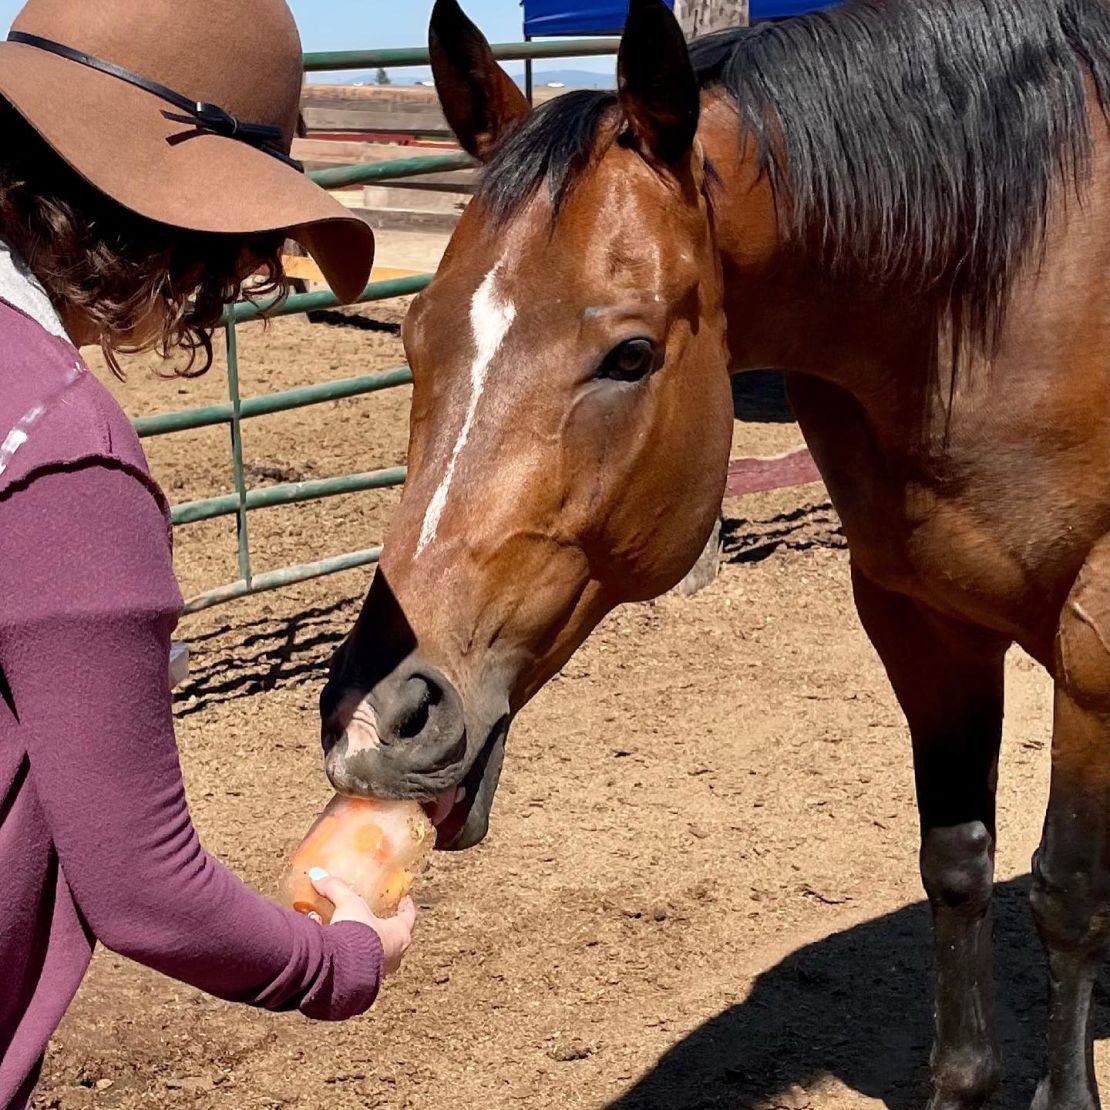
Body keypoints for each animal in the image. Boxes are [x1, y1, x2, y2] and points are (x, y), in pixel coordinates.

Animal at [324, 4, 1110, 1105]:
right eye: (415, 336)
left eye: (631, 355)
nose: (377, 715)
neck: (1002, 294)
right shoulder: (920, 622)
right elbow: (958, 865)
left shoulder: (1094, 640)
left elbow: (1069, 893)